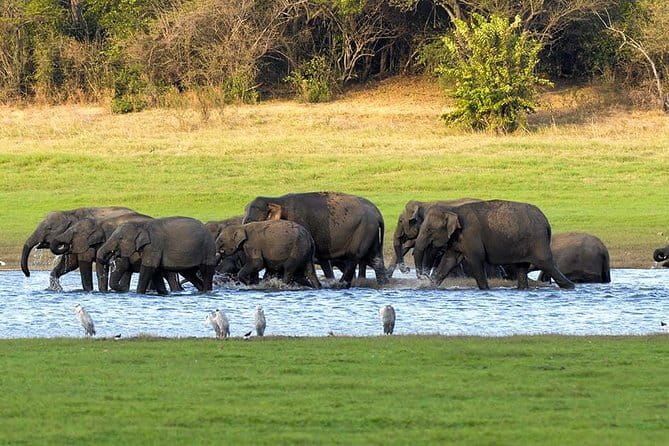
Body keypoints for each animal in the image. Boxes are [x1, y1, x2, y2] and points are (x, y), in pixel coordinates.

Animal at [50, 215, 184, 292]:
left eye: (73, 232)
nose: (66, 246)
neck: (97, 222)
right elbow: (72, 264)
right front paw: (55, 288)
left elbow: (84, 265)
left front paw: (91, 291)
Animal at [243, 192, 386, 287]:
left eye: (251, 222)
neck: (275, 200)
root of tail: (378, 214)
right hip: (372, 233)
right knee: (376, 260)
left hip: (363, 230)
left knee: (353, 258)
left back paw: (340, 285)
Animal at [413, 200, 575, 290]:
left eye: (429, 230)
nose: (423, 277)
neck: (452, 209)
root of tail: (546, 222)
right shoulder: (457, 239)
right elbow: (448, 261)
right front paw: (430, 287)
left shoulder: (471, 234)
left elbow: (476, 260)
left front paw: (485, 289)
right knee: (522, 268)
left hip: (537, 241)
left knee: (546, 263)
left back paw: (570, 287)